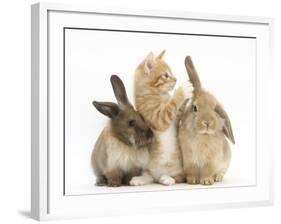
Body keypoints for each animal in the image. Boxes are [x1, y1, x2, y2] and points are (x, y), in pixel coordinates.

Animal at [130, 50, 192, 186]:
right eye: (166, 75)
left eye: (171, 73)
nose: (176, 79)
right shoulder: (156, 117)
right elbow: (171, 106)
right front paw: (182, 90)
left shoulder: (176, 116)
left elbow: (178, 110)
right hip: (147, 166)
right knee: (150, 176)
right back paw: (142, 179)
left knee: (179, 176)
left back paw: (166, 177)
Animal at [178, 56, 235, 186]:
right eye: (194, 108)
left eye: (214, 108)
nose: (207, 122)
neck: (202, 135)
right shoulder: (189, 160)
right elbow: (192, 171)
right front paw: (192, 181)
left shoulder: (211, 161)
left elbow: (208, 171)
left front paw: (206, 181)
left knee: (221, 172)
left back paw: (218, 178)